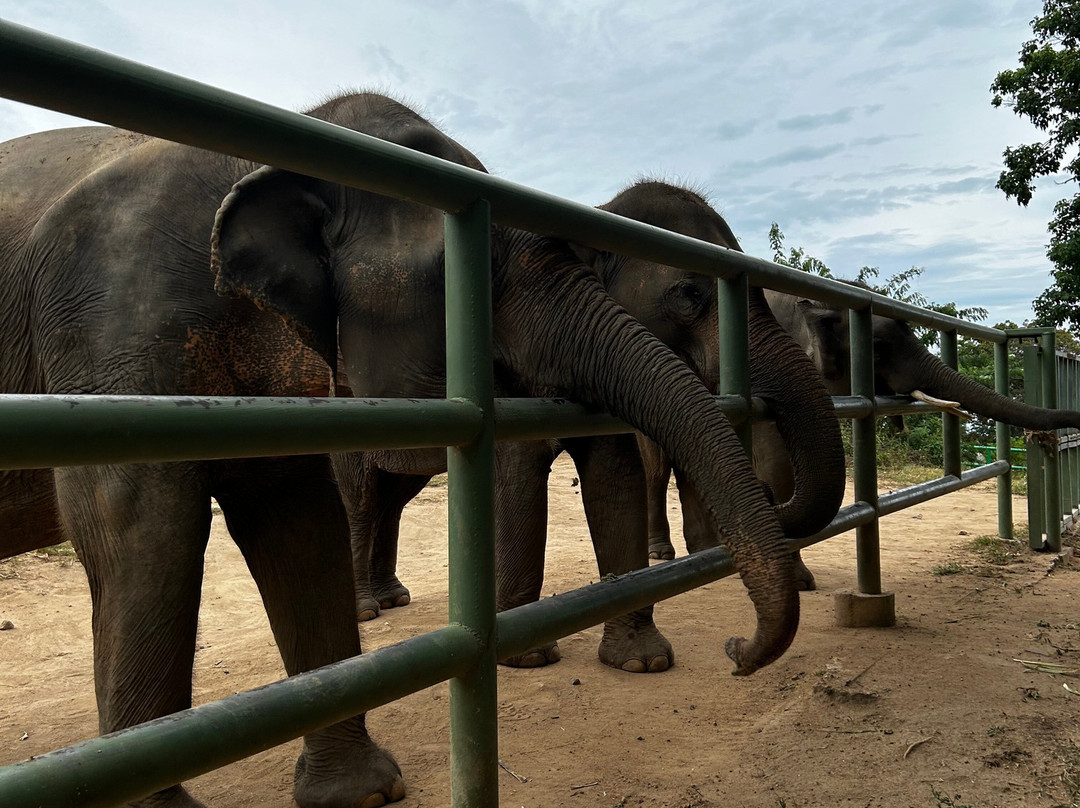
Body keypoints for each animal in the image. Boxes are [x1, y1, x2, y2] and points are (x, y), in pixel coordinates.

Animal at [342, 180, 847, 669]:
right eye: (689, 294)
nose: (734, 648)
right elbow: (522, 460)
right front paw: (530, 658)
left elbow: (616, 466)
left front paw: (643, 661)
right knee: (361, 497)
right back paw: (366, 609)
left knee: (395, 493)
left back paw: (392, 598)